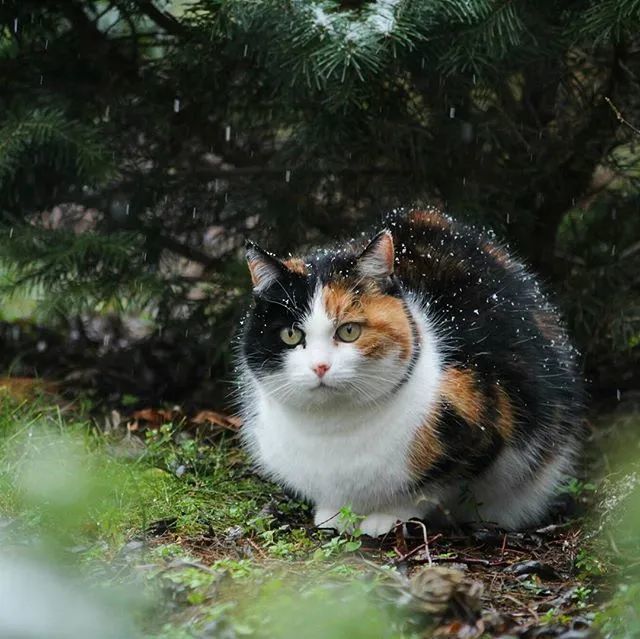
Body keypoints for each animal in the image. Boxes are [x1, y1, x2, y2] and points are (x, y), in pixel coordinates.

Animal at [238, 208, 584, 536]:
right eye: (291, 335)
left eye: (349, 331)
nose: (320, 366)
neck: (333, 429)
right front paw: (333, 515)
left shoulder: (482, 419)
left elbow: (432, 488)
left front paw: (386, 517)